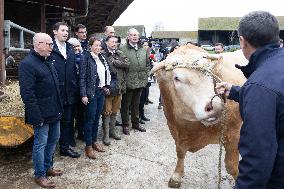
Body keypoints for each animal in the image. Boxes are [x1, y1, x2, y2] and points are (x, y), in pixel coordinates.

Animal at [152, 44, 247, 188]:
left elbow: (232, 166)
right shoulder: (175, 129)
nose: (215, 106)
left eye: (210, 74)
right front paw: (177, 175)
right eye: (176, 78)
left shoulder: (234, 133)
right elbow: (180, 152)